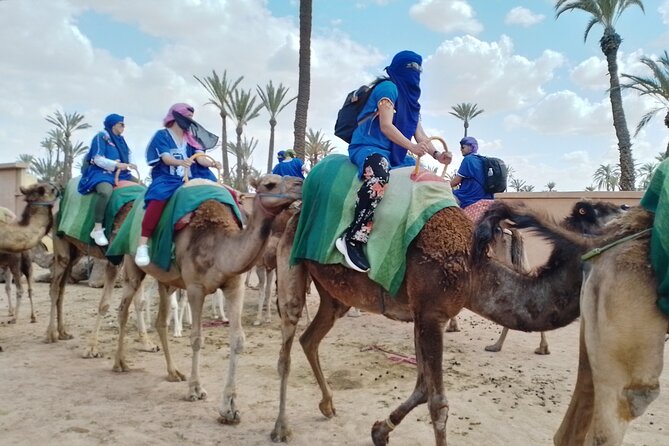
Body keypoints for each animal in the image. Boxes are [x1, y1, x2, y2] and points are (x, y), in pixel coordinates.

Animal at [113, 174, 302, 425]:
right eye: (269, 184)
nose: (300, 183)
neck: (218, 247)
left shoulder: (234, 285)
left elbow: (238, 340)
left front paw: (230, 408)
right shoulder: (195, 288)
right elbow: (196, 338)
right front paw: (195, 390)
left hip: (166, 280)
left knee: (161, 320)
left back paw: (173, 372)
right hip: (133, 264)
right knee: (123, 308)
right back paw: (120, 363)